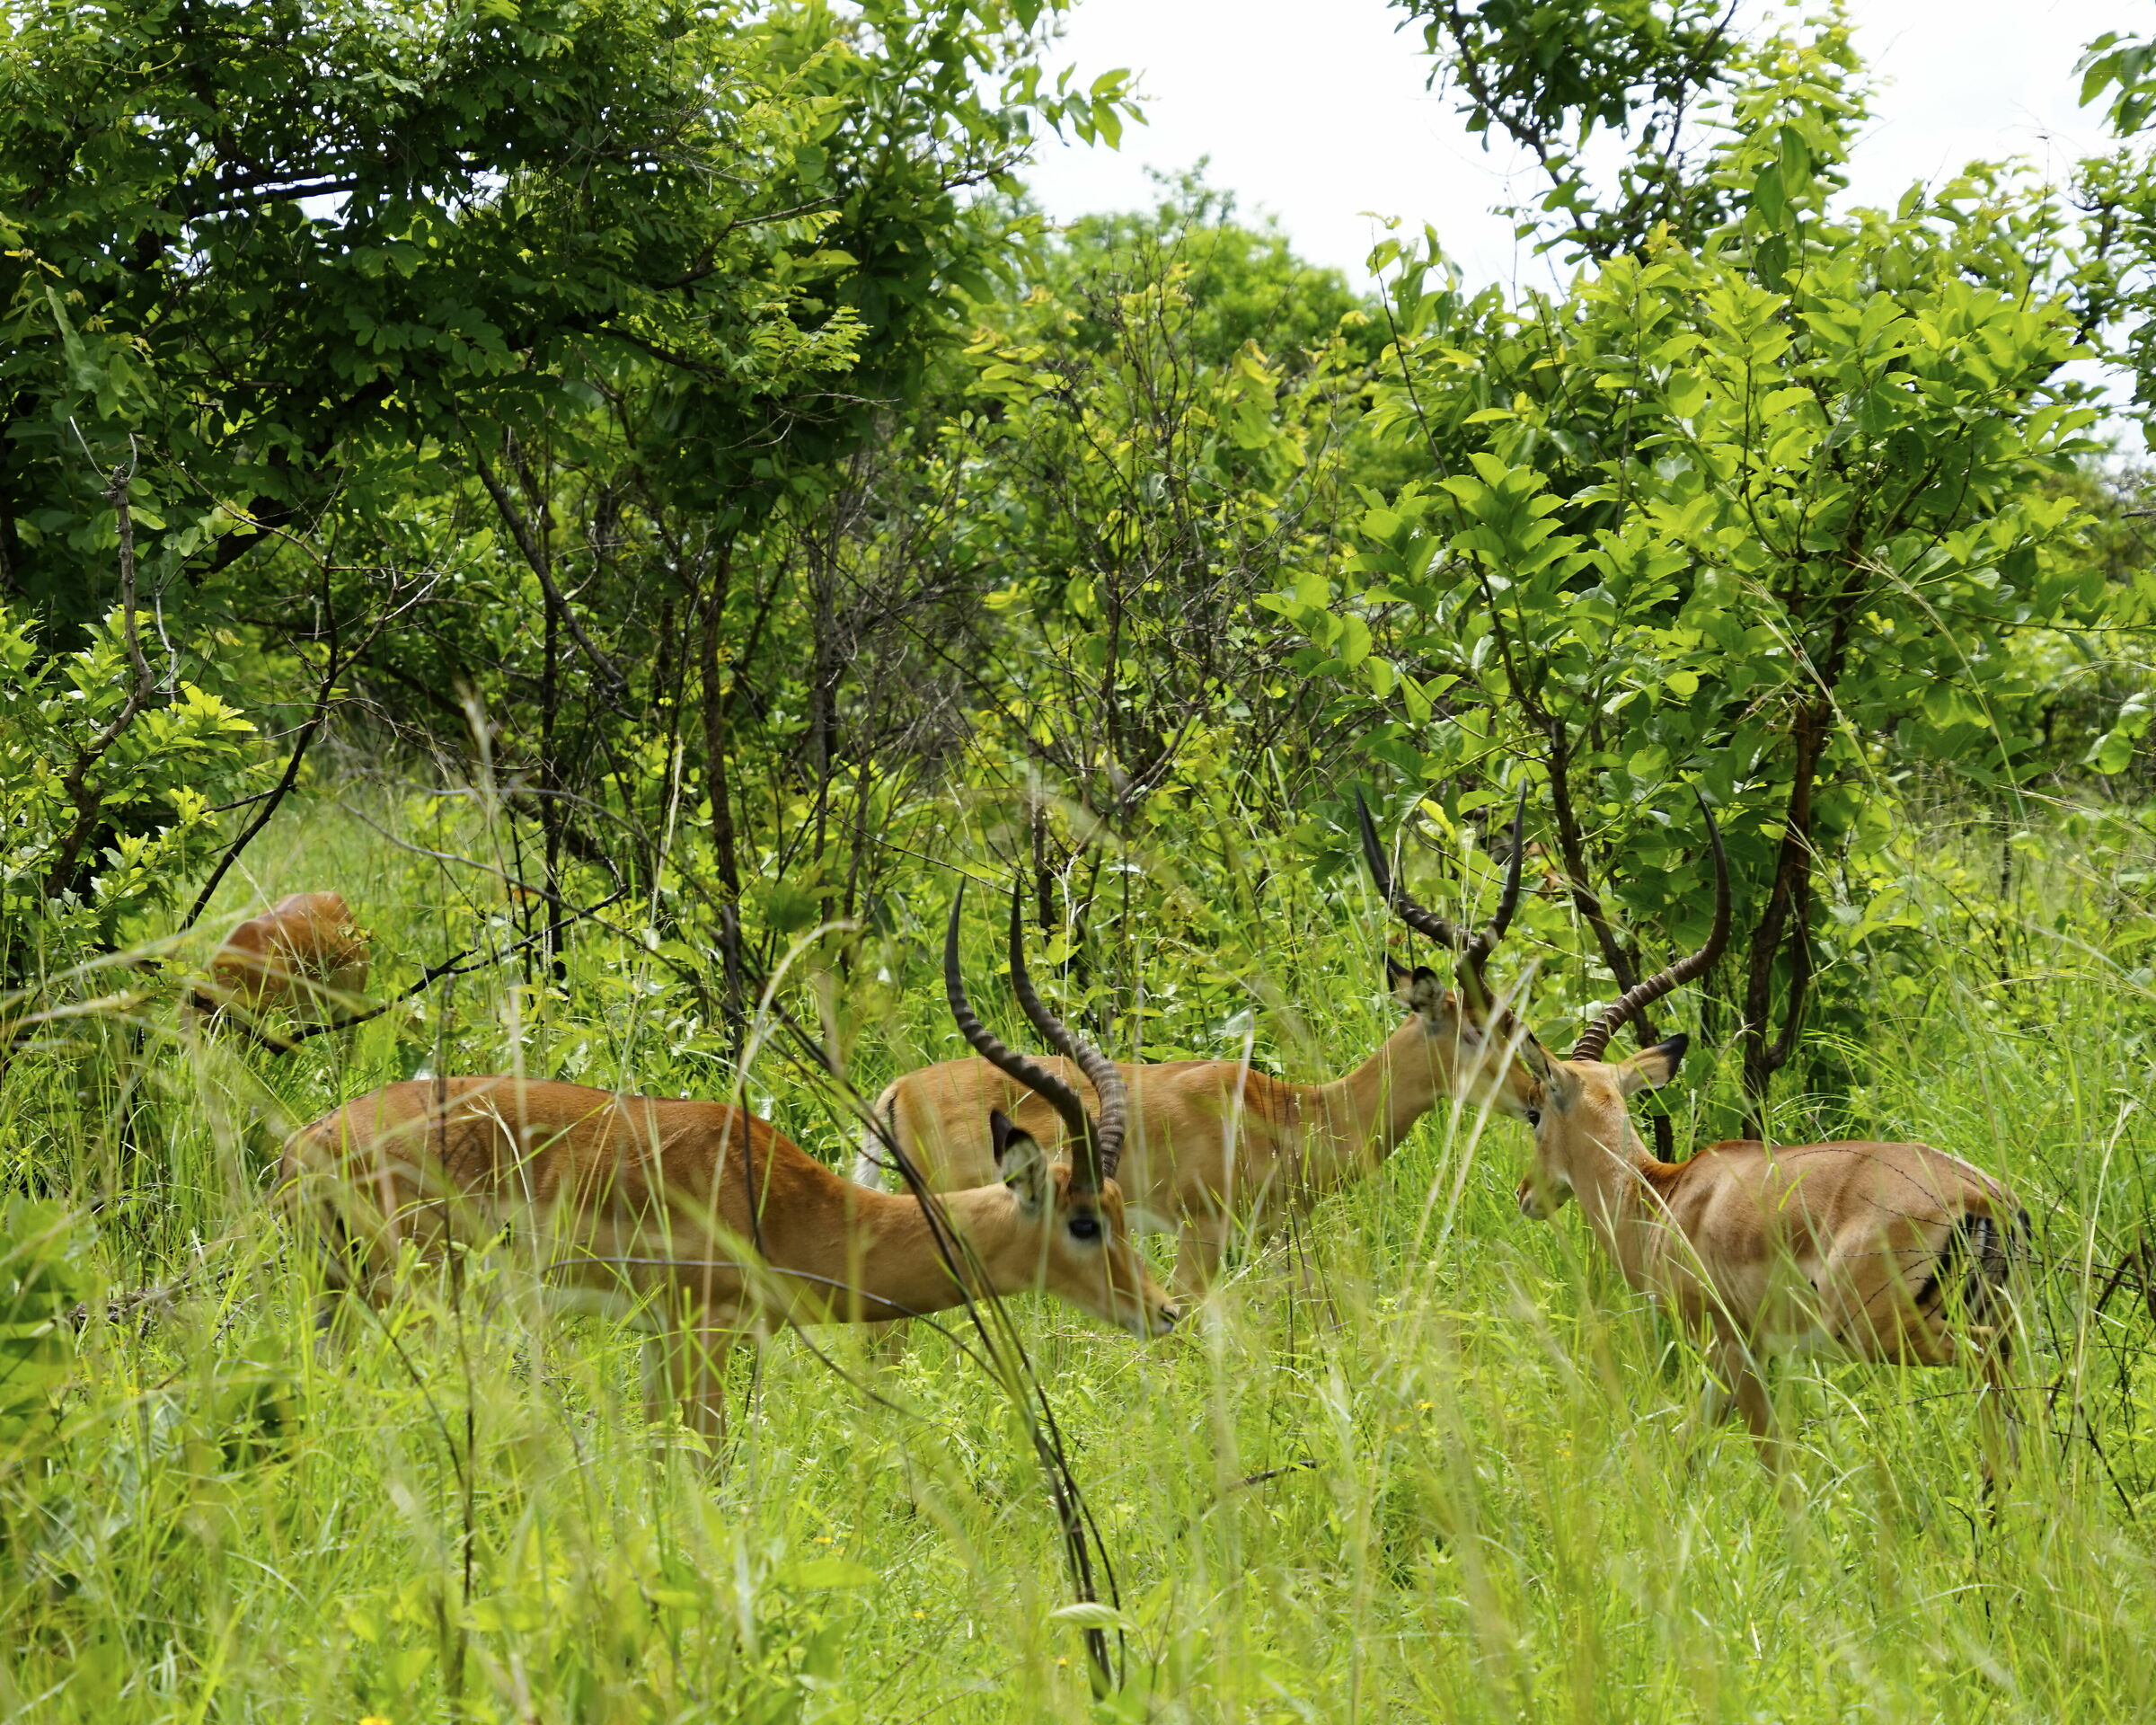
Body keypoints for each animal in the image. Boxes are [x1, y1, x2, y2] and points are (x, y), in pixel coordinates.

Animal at [279, 892, 1177, 1439]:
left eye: (1121, 1210)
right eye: (1085, 1221)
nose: (1164, 1311)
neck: (791, 1206)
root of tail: (309, 1141)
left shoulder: (658, 1336)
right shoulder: (704, 1329)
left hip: (338, 1299)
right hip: (421, 1300)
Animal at [856, 804, 1524, 1292]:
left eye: (1513, 1019)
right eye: (1478, 1028)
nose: (1535, 1094)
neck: (1290, 1111)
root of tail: (897, 1090)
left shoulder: (1272, 1234)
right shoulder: (1199, 1232)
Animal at [1415, 797, 2027, 1466]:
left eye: (1534, 1112)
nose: (1526, 1193)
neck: (1661, 1197)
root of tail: (1982, 1198)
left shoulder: (1730, 1347)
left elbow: (1768, 1456)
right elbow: (1688, 1446)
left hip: (1886, 1330)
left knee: (1985, 1365)